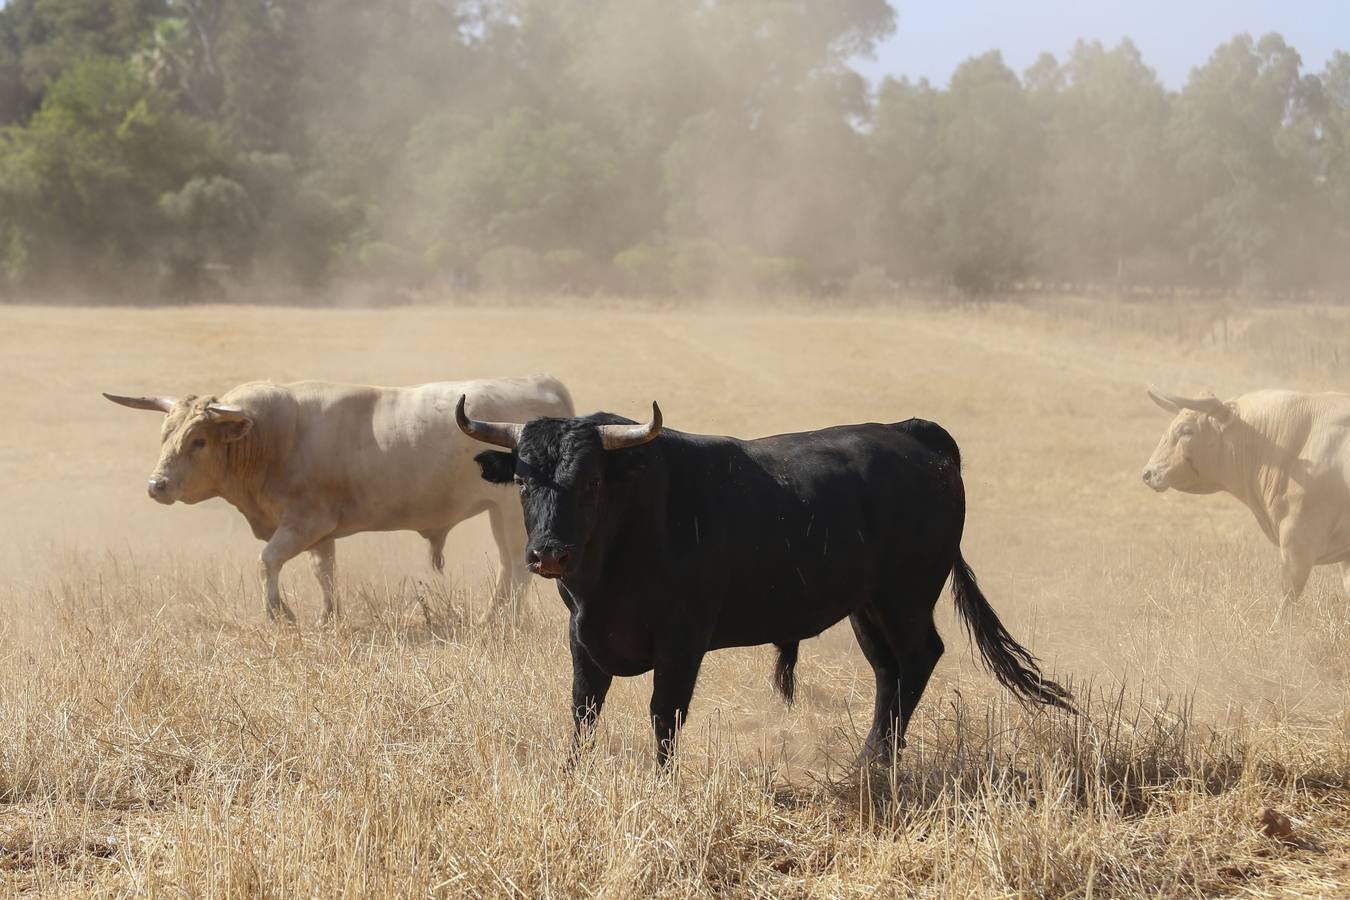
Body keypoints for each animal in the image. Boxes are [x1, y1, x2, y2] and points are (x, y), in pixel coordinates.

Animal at [103, 377, 569, 623]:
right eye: (165, 434)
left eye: (198, 440)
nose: (157, 484)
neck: (277, 437)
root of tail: (539, 385)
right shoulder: (319, 531)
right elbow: (323, 572)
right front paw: (328, 616)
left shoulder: (304, 521)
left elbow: (268, 560)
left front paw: (280, 613)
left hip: (510, 514)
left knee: (515, 570)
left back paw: (499, 621)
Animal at [459, 399, 1069, 766]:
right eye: (523, 481)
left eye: (589, 482)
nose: (548, 554)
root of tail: (912, 434)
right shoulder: (583, 636)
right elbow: (583, 710)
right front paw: (574, 775)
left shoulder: (683, 641)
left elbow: (664, 714)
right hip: (866, 606)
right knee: (887, 669)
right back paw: (871, 759)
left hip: (907, 597)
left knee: (919, 657)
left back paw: (879, 761)